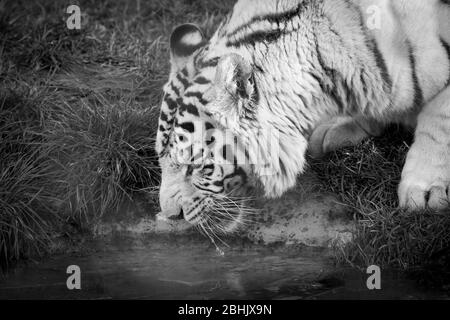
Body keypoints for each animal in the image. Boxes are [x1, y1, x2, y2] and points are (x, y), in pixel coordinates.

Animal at [155, 0, 450, 235]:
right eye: (161, 160)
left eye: (196, 166)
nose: (171, 216)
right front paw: (337, 127)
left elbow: (438, 123)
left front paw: (423, 192)